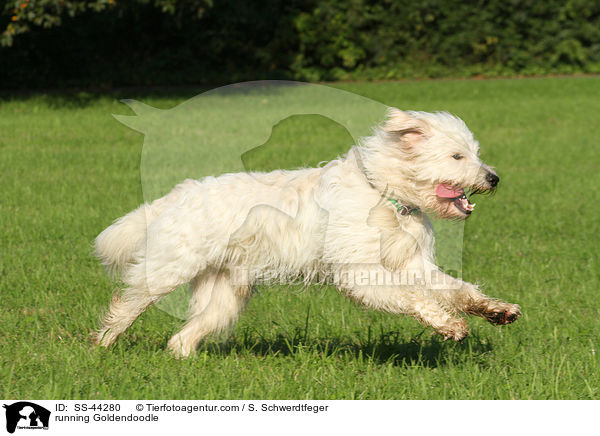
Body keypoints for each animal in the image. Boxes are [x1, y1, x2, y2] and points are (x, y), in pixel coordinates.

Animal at [95, 107, 520, 356]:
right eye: (457, 156)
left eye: (475, 153)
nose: (494, 179)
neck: (385, 195)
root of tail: (176, 195)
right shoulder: (360, 274)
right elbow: (413, 297)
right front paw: (449, 325)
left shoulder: (413, 264)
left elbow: (456, 289)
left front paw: (495, 310)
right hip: (167, 270)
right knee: (125, 306)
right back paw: (101, 345)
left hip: (226, 296)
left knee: (182, 337)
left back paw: (182, 359)